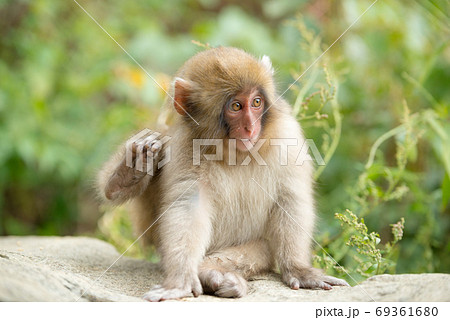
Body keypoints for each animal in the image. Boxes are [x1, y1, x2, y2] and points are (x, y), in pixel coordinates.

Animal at [97, 46, 348, 302]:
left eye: (256, 102)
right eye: (236, 106)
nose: (250, 127)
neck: (234, 153)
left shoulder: (289, 137)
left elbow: (291, 199)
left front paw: (298, 269)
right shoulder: (184, 144)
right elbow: (189, 205)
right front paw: (181, 278)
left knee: (264, 246)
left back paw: (212, 272)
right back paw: (129, 171)